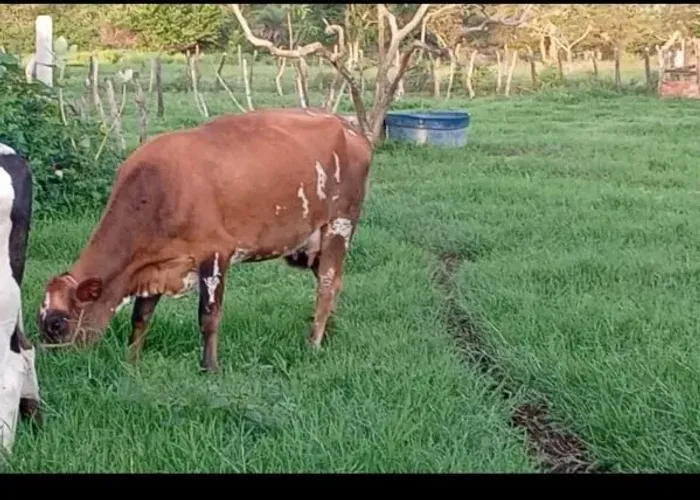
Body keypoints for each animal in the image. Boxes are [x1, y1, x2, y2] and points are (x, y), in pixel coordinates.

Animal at [37, 108, 374, 374]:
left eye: (57, 324)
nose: (54, 365)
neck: (155, 190)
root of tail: (350, 128)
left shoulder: (215, 253)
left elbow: (208, 316)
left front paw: (210, 367)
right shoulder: (154, 264)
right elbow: (141, 316)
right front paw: (131, 361)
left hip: (339, 224)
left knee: (328, 283)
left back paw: (314, 343)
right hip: (311, 245)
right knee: (334, 282)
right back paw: (328, 330)